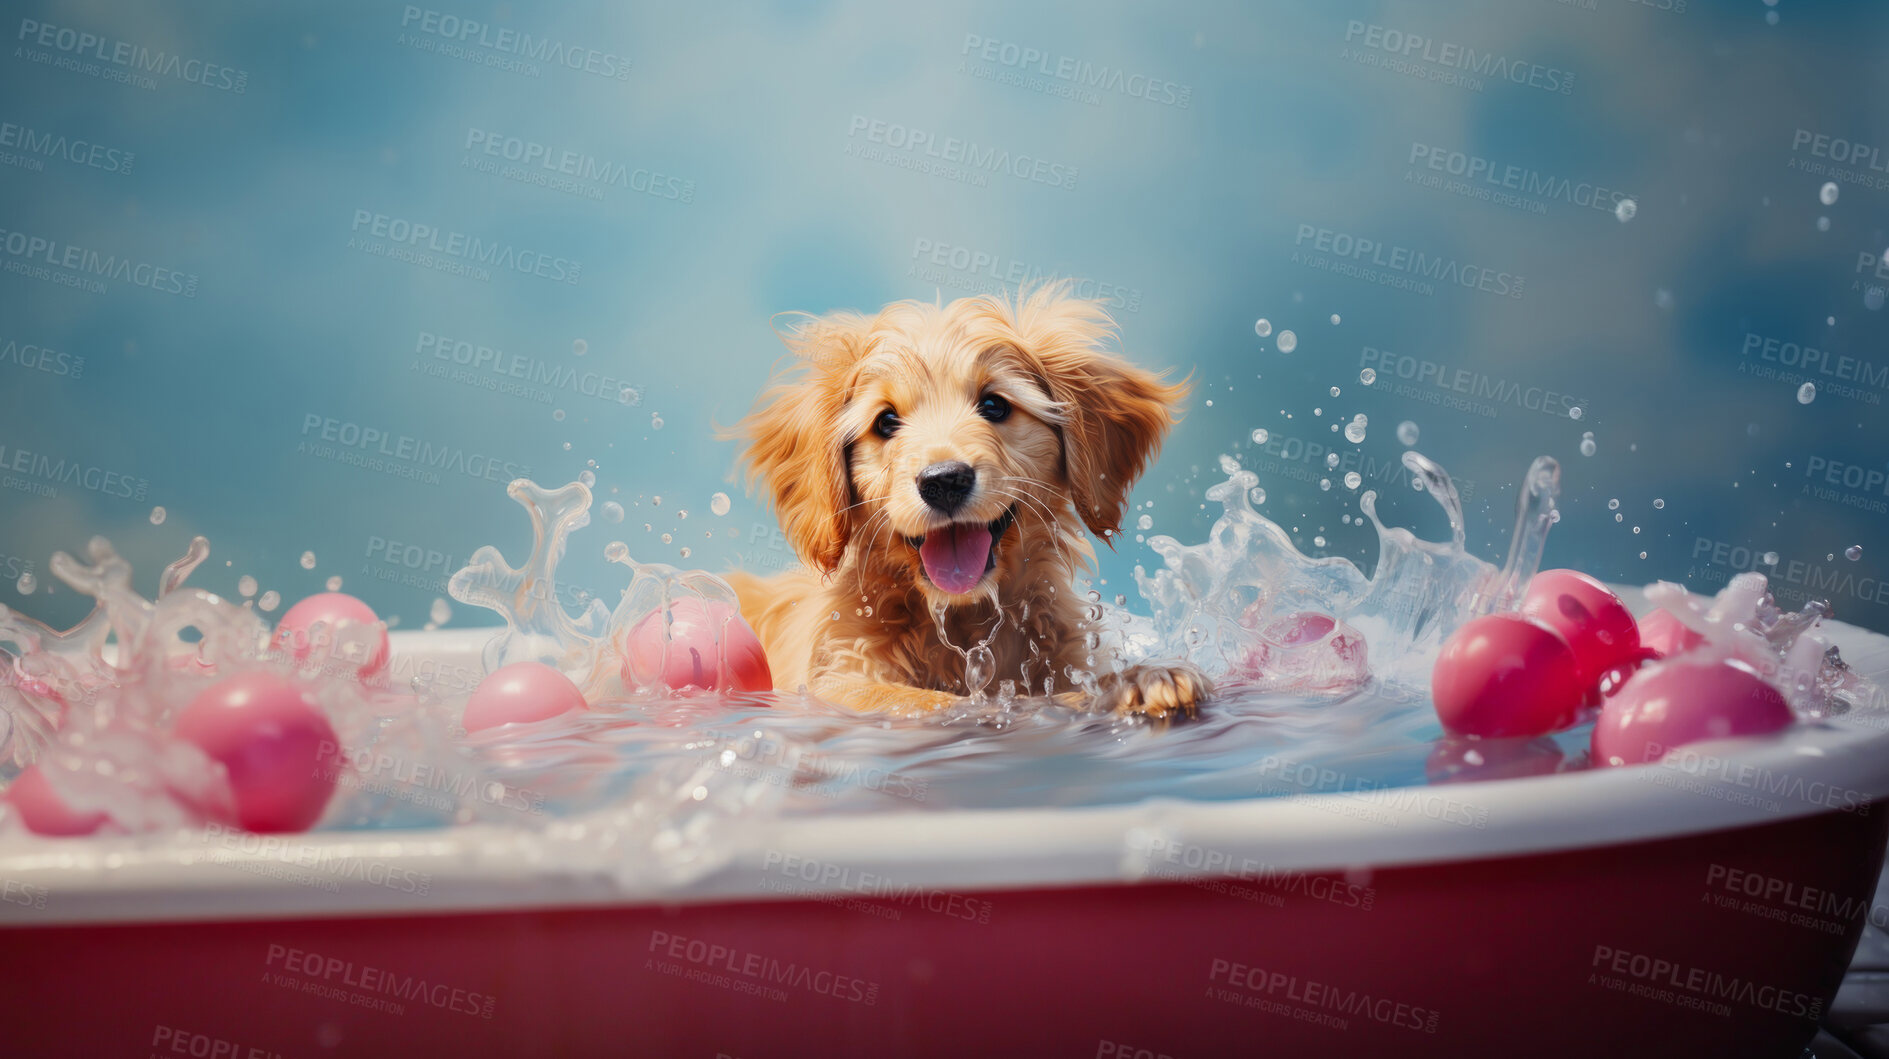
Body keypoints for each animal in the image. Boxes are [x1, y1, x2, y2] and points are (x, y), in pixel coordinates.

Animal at [725, 277, 1208, 717]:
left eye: (994, 405)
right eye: (886, 422)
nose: (944, 480)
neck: (962, 619)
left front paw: (1142, 678)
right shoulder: (836, 680)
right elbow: (921, 701)